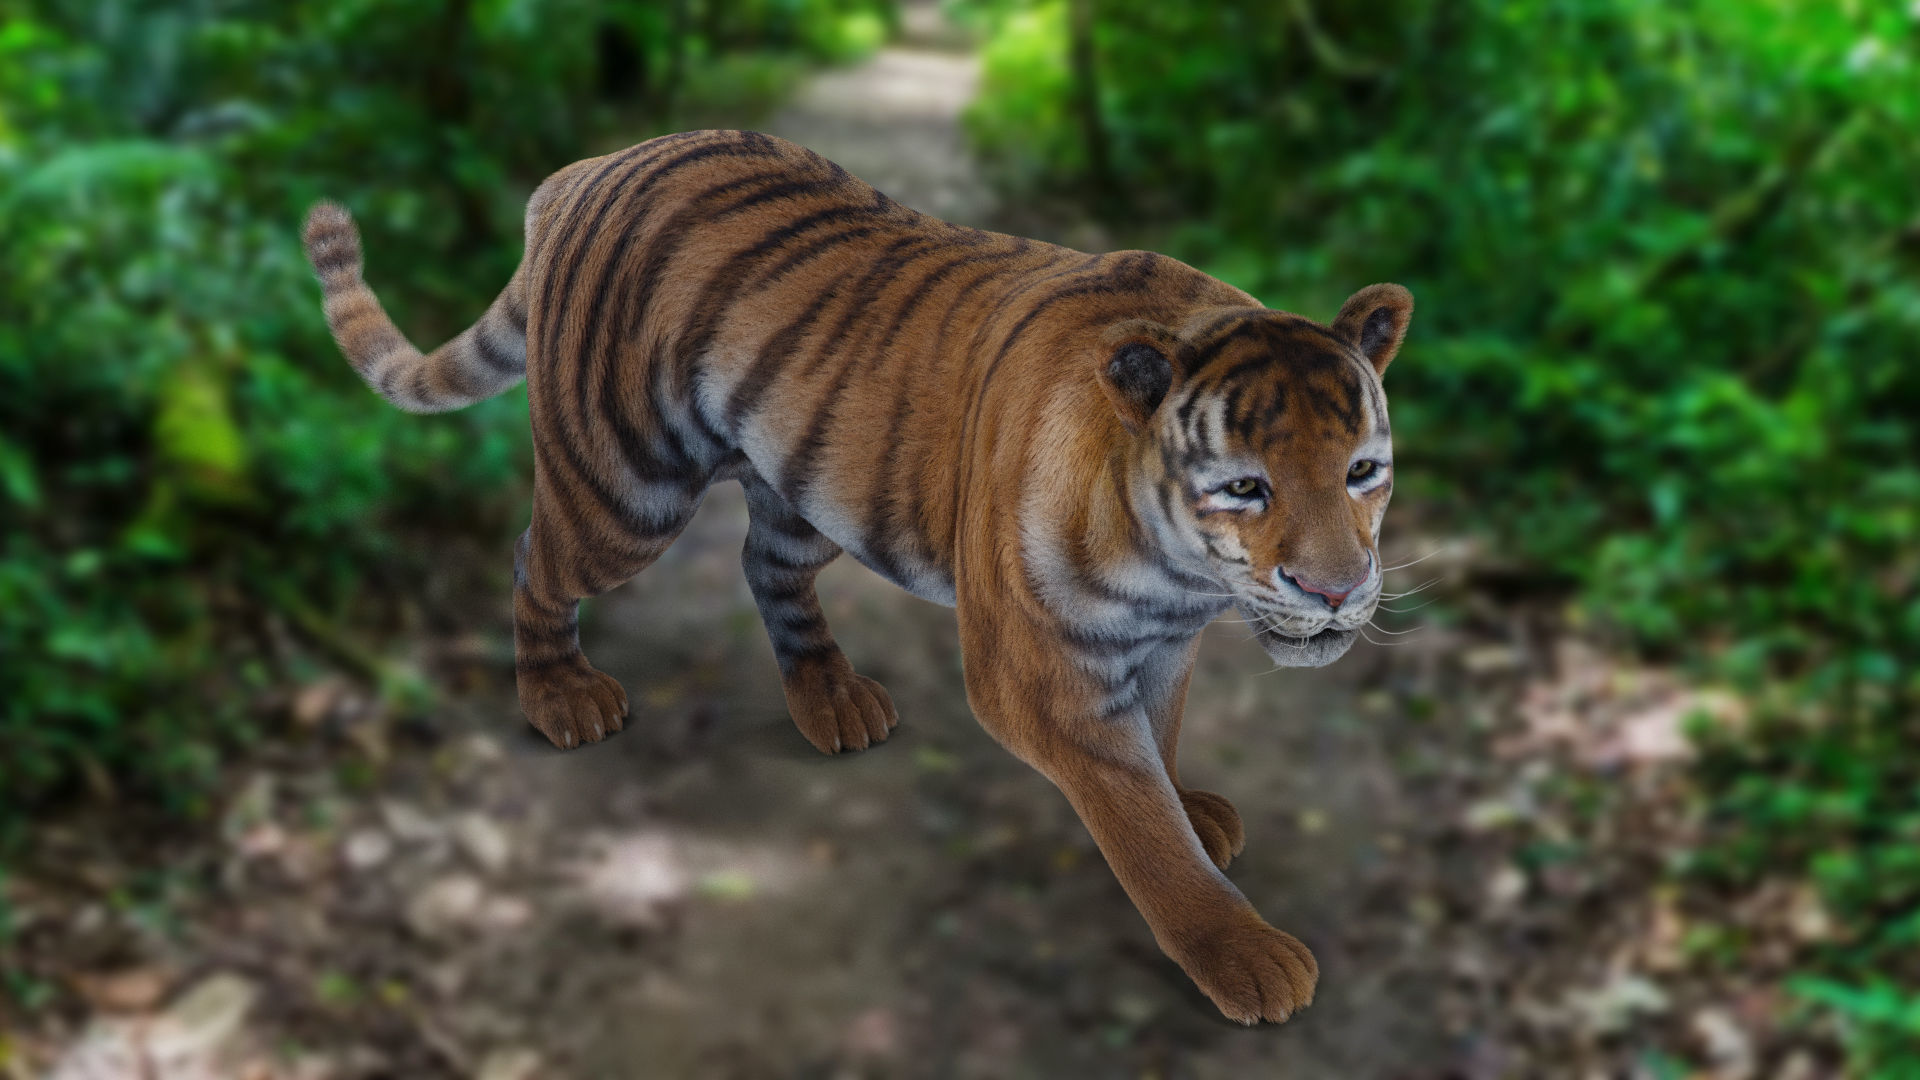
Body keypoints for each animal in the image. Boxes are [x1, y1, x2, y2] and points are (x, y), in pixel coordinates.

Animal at [302, 129, 1413, 1026]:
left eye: (1362, 471)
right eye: (1245, 487)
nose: (1335, 590)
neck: (1179, 573)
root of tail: (586, 169)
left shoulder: (1165, 645)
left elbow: (1163, 746)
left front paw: (1196, 809)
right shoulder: (1038, 676)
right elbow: (1139, 821)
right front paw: (1243, 951)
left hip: (804, 489)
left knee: (764, 566)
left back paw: (830, 698)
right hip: (625, 488)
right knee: (537, 558)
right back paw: (560, 698)